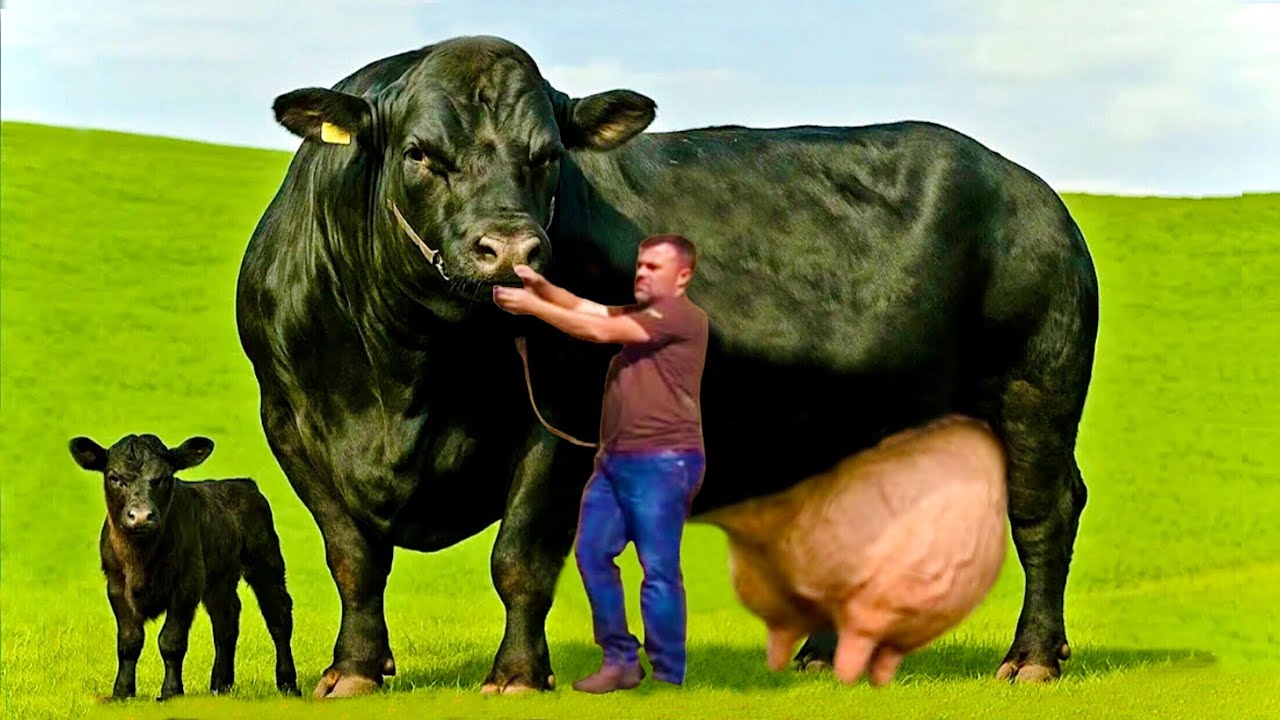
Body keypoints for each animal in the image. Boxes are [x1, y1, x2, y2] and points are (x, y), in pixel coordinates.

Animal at [235, 34, 1097, 697]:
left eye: (548, 156)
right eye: (420, 153)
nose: (511, 250)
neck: (410, 371)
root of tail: (1027, 187)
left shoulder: (564, 423)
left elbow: (519, 557)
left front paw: (516, 674)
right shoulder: (289, 425)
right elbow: (354, 558)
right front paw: (354, 669)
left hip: (1036, 390)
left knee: (1044, 514)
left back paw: (1031, 658)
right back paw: (826, 658)